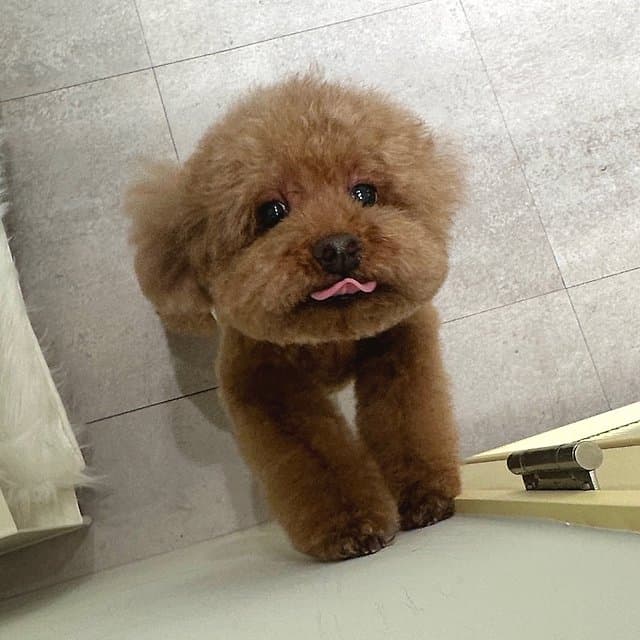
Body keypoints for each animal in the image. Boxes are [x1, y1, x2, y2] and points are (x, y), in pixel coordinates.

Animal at [125, 74, 462, 560]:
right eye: (272, 212)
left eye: (365, 193)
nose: (338, 247)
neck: (329, 340)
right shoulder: (266, 387)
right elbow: (319, 461)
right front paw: (352, 528)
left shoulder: (400, 347)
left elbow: (408, 420)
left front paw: (424, 496)